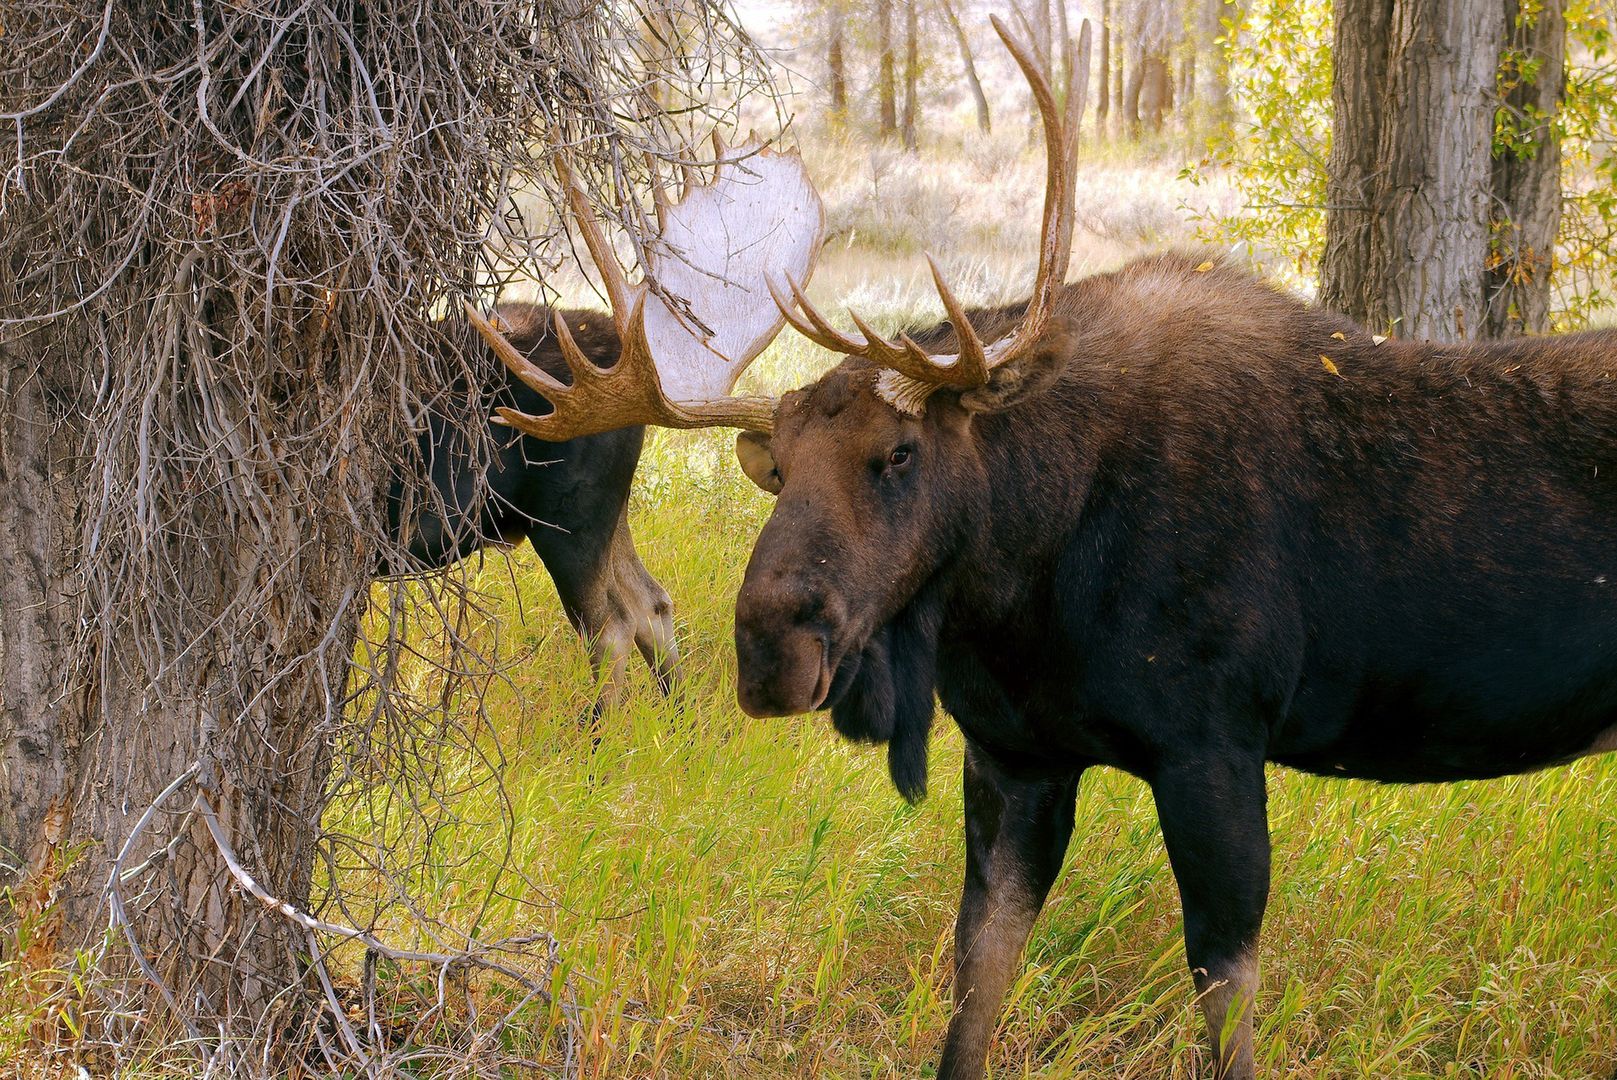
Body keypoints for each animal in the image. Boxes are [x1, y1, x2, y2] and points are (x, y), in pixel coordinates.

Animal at [468, 21, 1617, 1080]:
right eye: (777, 469)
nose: (768, 650)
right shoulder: (1011, 757)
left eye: (897, 454)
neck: (1023, 593)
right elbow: (975, 990)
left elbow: (1225, 1008)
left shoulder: (1214, 748)